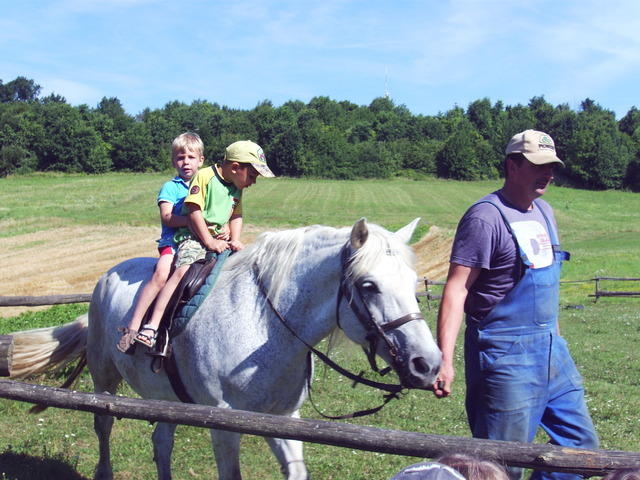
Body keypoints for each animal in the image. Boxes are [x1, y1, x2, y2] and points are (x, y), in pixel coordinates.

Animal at [11, 219, 440, 480]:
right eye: (368, 285)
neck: (264, 323)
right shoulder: (224, 424)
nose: (428, 364)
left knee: (161, 441)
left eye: (413, 281)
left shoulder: (284, 418)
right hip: (104, 376)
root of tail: (103, 279)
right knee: (103, 425)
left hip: (164, 397)